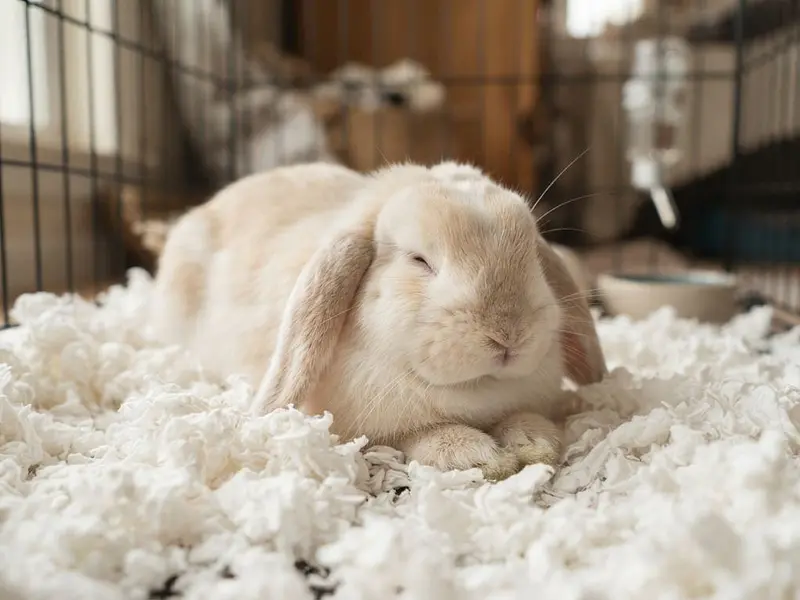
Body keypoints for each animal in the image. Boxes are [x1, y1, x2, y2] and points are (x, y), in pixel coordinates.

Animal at [150, 161, 607, 481]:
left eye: (531, 255)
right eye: (419, 260)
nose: (508, 334)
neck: (476, 391)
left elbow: (527, 419)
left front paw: (534, 443)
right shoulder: (375, 428)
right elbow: (421, 435)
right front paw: (479, 455)